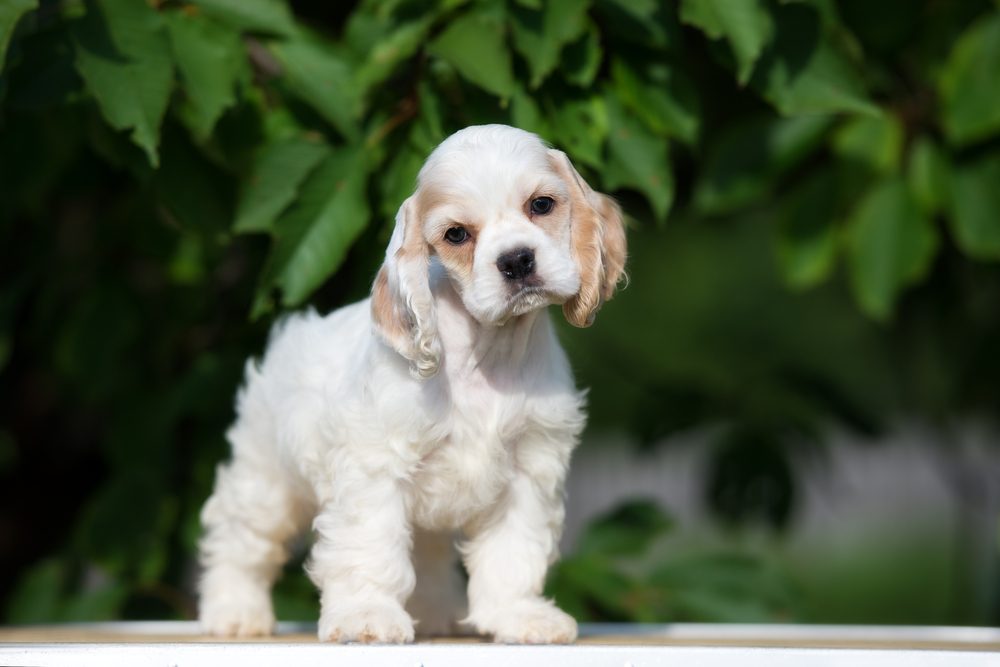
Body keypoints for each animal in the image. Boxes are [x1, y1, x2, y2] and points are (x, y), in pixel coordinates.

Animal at [197, 124, 624, 640]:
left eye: (541, 205)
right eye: (456, 234)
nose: (517, 260)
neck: (487, 353)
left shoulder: (530, 469)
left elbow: (512, 553)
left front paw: (519, 615)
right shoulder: (375, 465)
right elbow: (370, 546)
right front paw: (366, 615)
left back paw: (437, 613)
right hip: (267, 481)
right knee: (241, 539)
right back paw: (234, 611)